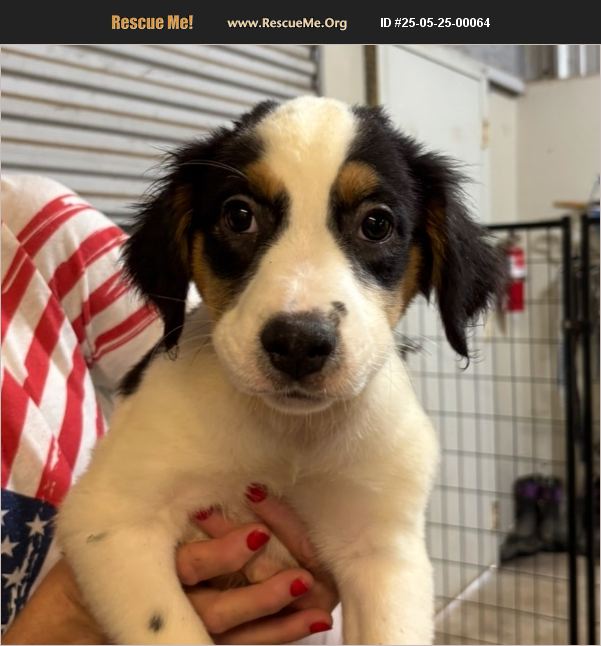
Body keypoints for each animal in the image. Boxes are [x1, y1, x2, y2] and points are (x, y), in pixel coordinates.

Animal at [57, 96, 504, 644]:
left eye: (376, 224)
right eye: (239, 215)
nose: (297, 343)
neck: (289, 435)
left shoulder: (386, 552)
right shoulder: (110, 522)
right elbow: (171, 627)